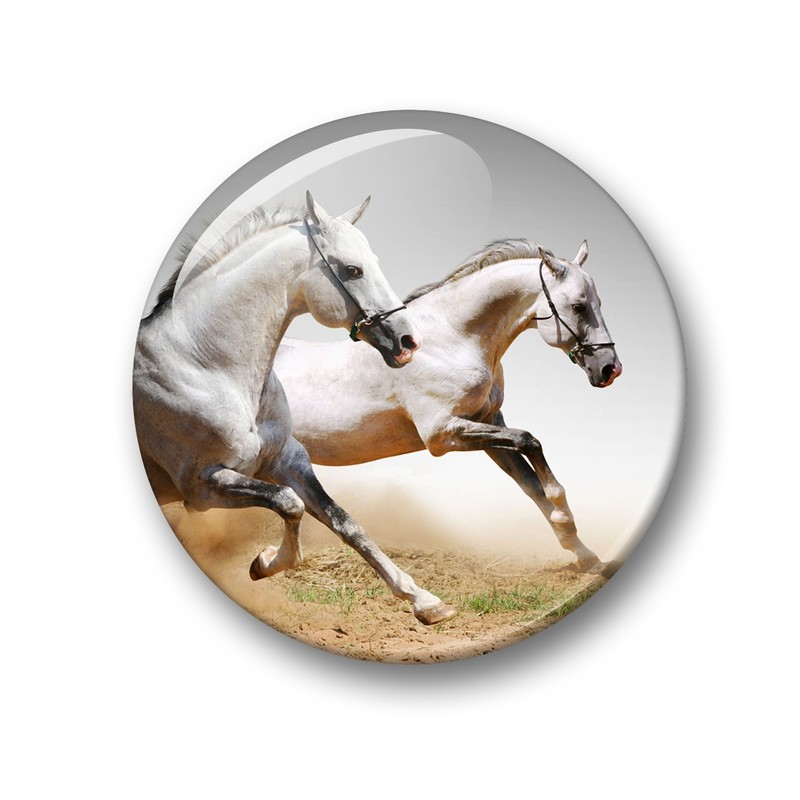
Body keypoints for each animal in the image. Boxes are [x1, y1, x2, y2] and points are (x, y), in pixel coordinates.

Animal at [133, 192, 457, 625]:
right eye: (352, 270)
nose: (408, 341)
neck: (204, 363)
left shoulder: (288, 460)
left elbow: (344, 521)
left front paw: (424, 600)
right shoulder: (202, 486)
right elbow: (290, 503)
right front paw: (266, 562)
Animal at [274, 238, 622, 572]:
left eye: (599, 304)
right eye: (578, 306)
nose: (610, 369)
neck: (450, 339)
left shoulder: (490, 423)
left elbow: (531, 484)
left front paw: (586, 556)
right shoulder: (442, 434)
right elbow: (530, 442)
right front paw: (565, 516)